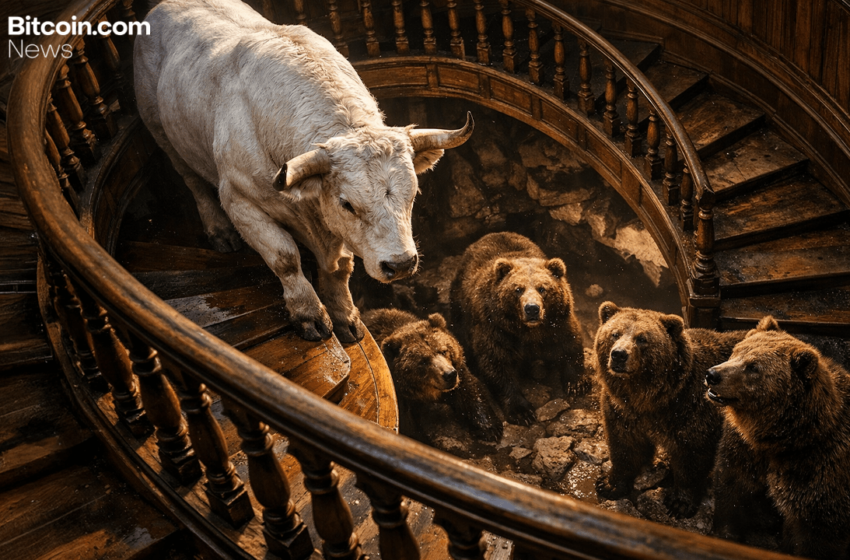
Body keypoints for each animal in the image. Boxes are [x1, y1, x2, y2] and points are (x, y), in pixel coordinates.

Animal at [134, 0, 473, 343]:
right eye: (347, 204)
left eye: (413, 194)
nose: (400, 264)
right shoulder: (240, 202)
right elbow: (284, 257)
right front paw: (309, 314)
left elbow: (340, 267)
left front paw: (345, 316)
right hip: (161, 131)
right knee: (192, 180)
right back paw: (220, 232)